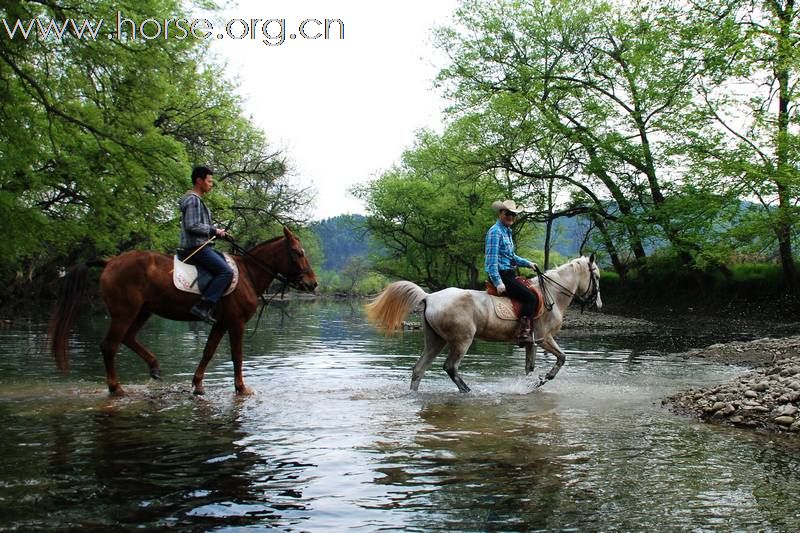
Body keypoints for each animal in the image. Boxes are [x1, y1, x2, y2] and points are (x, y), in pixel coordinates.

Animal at [47, 224, 318, 394]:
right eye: (298, 253)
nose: (312, 283)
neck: (248, 274)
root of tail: (110, 261)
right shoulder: (236, 323)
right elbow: (237, 356)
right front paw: (241, 388)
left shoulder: (221, 323)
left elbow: (208, 353)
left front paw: (197, 385)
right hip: (124, 313)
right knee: (109, 346)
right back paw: (116, 388)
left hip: (142, 311)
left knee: (128, 338)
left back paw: (154, 367)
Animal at [362, 256, 600, 392]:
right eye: (596, 276)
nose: (597, 304)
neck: (551, 294)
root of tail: (429, 297)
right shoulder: (544, 338)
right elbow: (561, 357)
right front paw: (544, 378)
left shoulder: (531, 341)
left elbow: (529, 368)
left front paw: (531, 383)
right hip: (461, 341)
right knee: (450, 367)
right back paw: (468, 391)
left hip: (435, 341)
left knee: (419, 369)